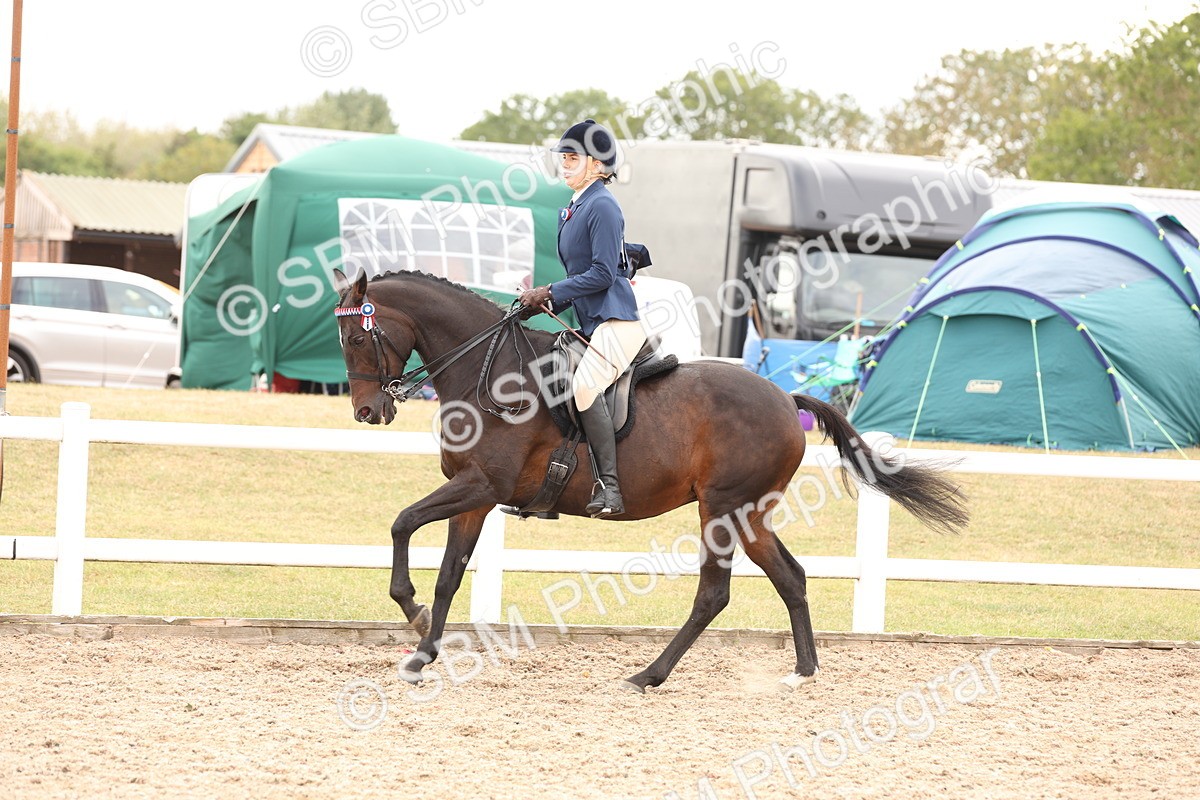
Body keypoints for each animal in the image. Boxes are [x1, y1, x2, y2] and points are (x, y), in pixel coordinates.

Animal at [331, 268, 969, 692]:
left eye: (357, 338)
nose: (367, 412)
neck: (490, 372)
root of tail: (786, 400)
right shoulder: (474, 496)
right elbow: (446, 576)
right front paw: (422, 648)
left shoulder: (482, 486)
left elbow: (402, 523)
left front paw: (411, 616)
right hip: (751, 513)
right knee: (790, 577)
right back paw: (803, 672)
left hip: (722, 510)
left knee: (714, 594)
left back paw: (649, 675)